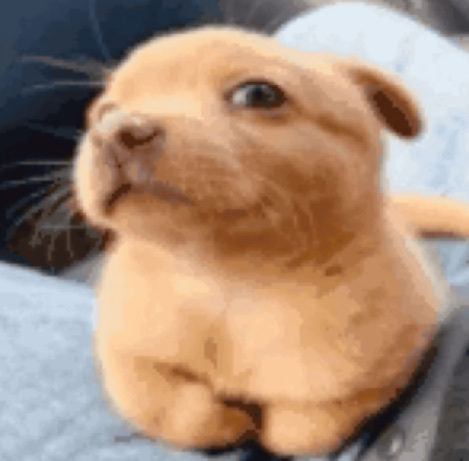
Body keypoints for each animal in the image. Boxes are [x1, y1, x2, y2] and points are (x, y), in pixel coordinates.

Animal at [73, 26, 469, 456]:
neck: (227, 283)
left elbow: (302, 428)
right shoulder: (120, 352)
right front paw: (228, 421)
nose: (113, 131)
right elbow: (167, 408)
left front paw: (265, 424)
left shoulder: (392, 361)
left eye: (258, 94)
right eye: (104, 112)